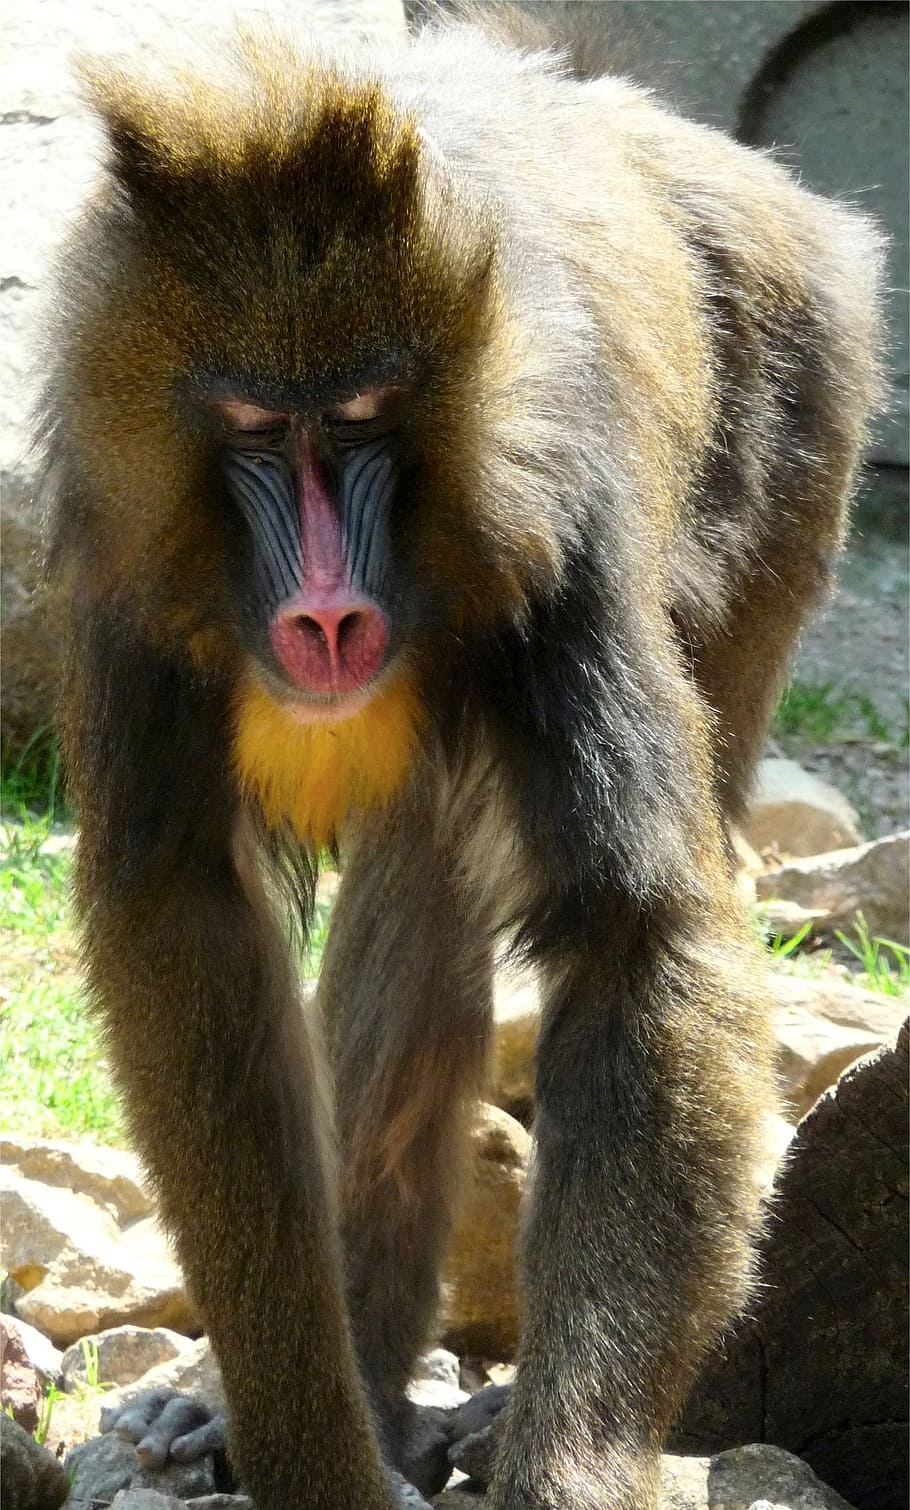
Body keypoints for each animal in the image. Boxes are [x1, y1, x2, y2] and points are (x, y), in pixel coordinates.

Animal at [38, 4, 884, 1508]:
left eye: (367, 415)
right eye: (257, 430)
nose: (327, 614)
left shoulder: (566, 541)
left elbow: (639, 943)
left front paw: (564, 1465)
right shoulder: (120, 575)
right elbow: (190, 935)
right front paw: (307, 1442)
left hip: (794, 437)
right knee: (415, 905)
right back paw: (352, 1375)